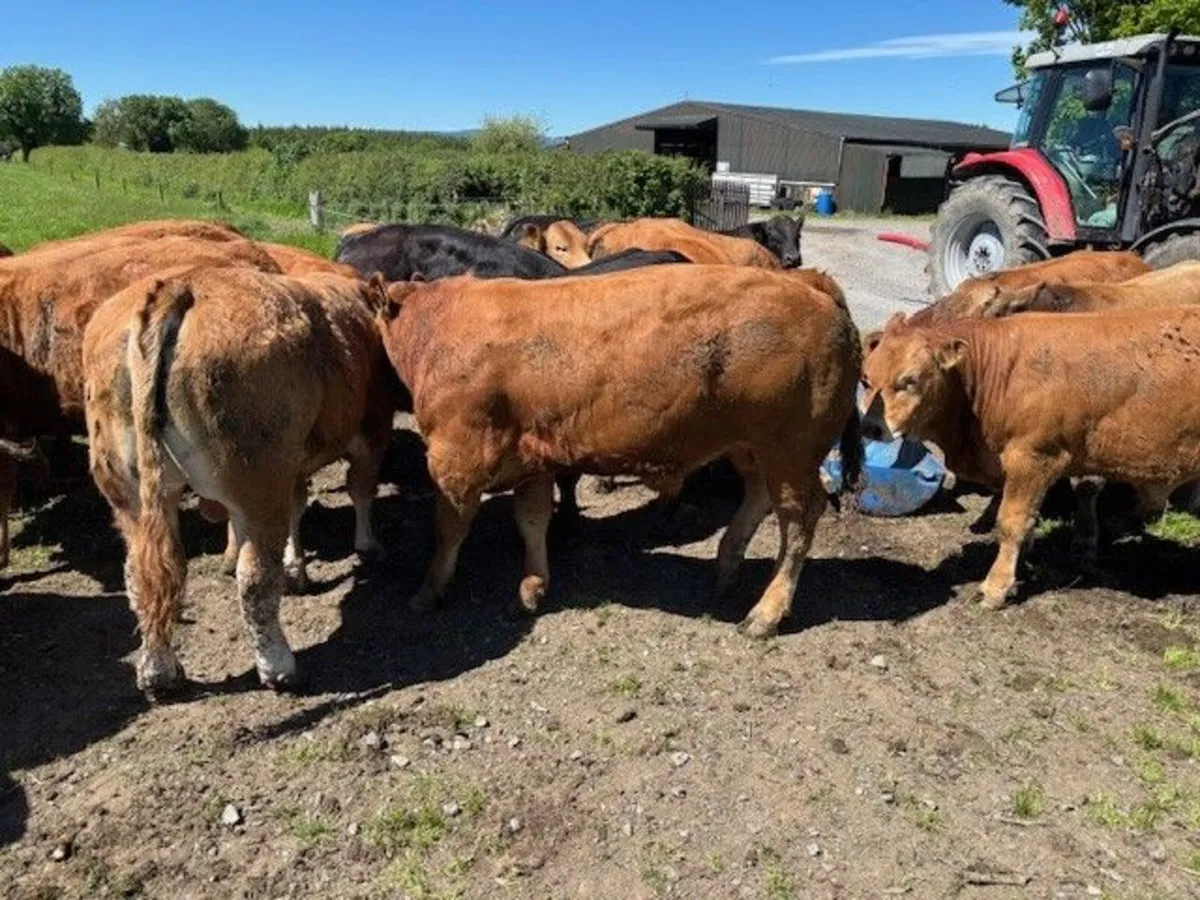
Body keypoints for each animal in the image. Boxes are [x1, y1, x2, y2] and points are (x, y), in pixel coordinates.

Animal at [84, 267, 394, 696]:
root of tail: (182, 284)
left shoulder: (292, 462)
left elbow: (297, 506)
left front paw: (296, 566)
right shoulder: (372, 429)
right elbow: (360, 489)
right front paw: (367, 545)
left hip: (130, 493)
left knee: (145, 574)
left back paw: (158, 670)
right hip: (258, 480)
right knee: (255, 581)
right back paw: (278, 667)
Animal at [370, 265, 862, 638]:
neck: (436, 325)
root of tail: (804, 281)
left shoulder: (456, 458)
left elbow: (449, 529)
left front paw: (430, 590)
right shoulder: (531, 459)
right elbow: (532, 521)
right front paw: (532, 586)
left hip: (789, 449)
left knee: (798, 519)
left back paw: (767, 611)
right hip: (751, 445)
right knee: (760, 497)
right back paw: (725, 570)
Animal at [861, 309, 1200, 609]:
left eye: (910, 380)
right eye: (865, 378)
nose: (871, 426)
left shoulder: (1033, 458)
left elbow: (1013, 521)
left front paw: (996, 587)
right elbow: (1031, 518)